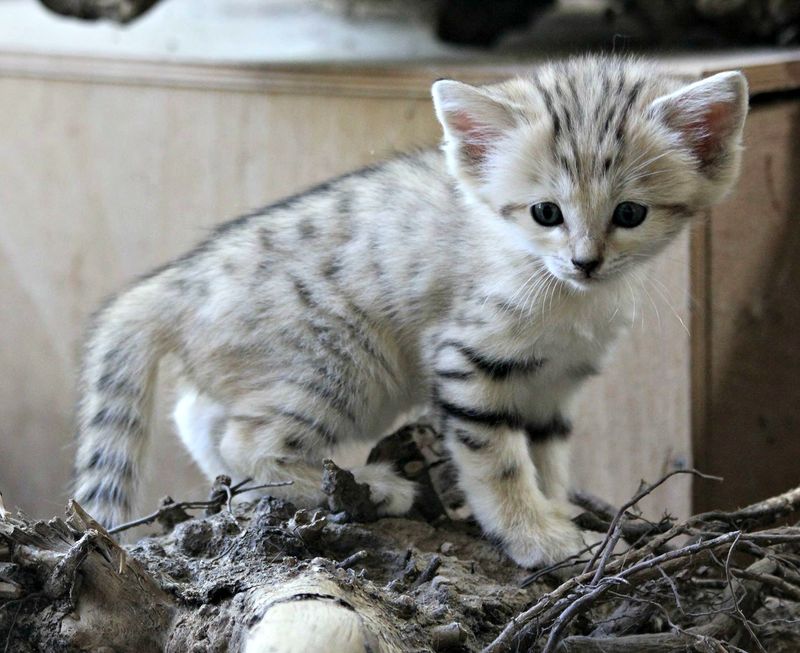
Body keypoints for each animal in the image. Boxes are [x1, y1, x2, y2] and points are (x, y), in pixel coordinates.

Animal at [76, 56, 752, 564]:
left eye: (630, 213)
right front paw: (537, 537)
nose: (585, 262)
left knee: (196, 417)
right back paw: (372, 489)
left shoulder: (554, 383)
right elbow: (499, 464)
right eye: (546, 213)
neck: (563, 291)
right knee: (246, 439)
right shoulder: (471, 362)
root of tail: (182, 279)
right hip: (345, 369)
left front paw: (559, 508)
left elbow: (547, 455)